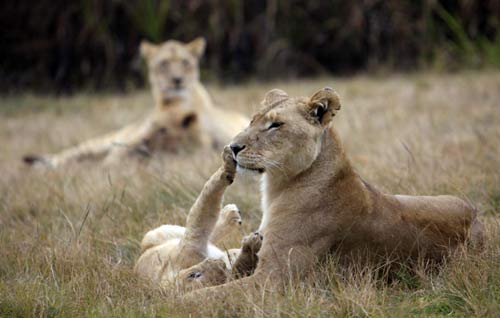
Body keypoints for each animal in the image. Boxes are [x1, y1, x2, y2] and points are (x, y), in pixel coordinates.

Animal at [185, 86, 484, 298]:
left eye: (275, 125)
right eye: (252, 120)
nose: (233, 147)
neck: (278, 186)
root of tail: (477, 219)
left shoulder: (273, 280)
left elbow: (204, 297)